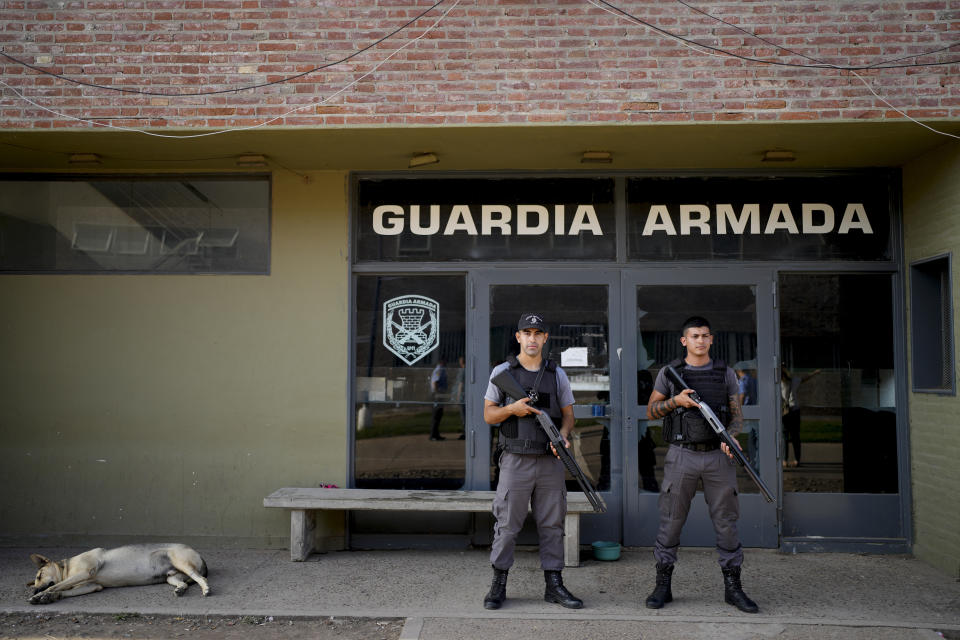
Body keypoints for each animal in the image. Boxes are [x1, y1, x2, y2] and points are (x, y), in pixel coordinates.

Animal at [28, 544, 210, 604]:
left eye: (39, 575)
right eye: (36, 580)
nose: (35, 589)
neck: (67, 568)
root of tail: (200, 555)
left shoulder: (85, 572)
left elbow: (55, 586)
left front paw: (40, 595)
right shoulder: (91, 585)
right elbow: (62, 590)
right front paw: (49, 597)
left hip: (181, 562)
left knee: (200, 577)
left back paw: (206, 588)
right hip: (172, 577)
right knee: (184, 582)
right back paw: (180, 589)